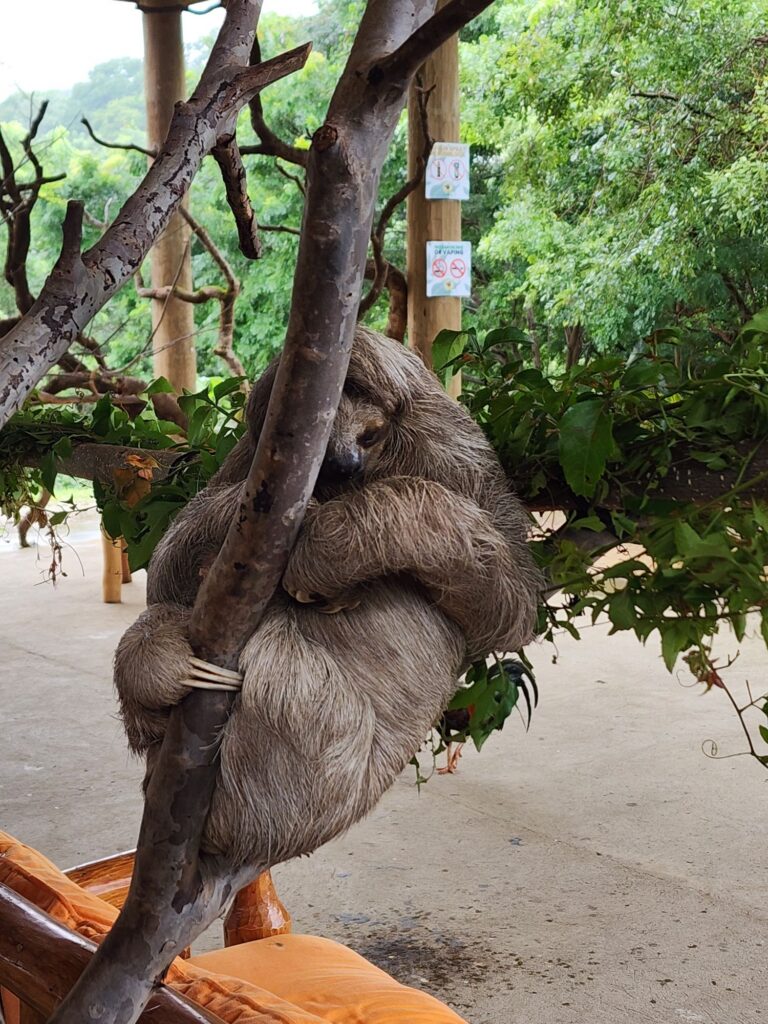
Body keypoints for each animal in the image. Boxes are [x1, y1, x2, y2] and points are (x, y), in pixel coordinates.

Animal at [114, 327, 543, 869]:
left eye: (369, 434)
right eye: (318, 454)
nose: (344, 461)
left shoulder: (452, 450)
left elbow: (511, 598)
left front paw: (319, 552)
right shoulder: (250, 453)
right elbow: (168, 563)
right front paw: (244, 517)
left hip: (320, 751)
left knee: (275, 663)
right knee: (166, 627)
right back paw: (161, 670)